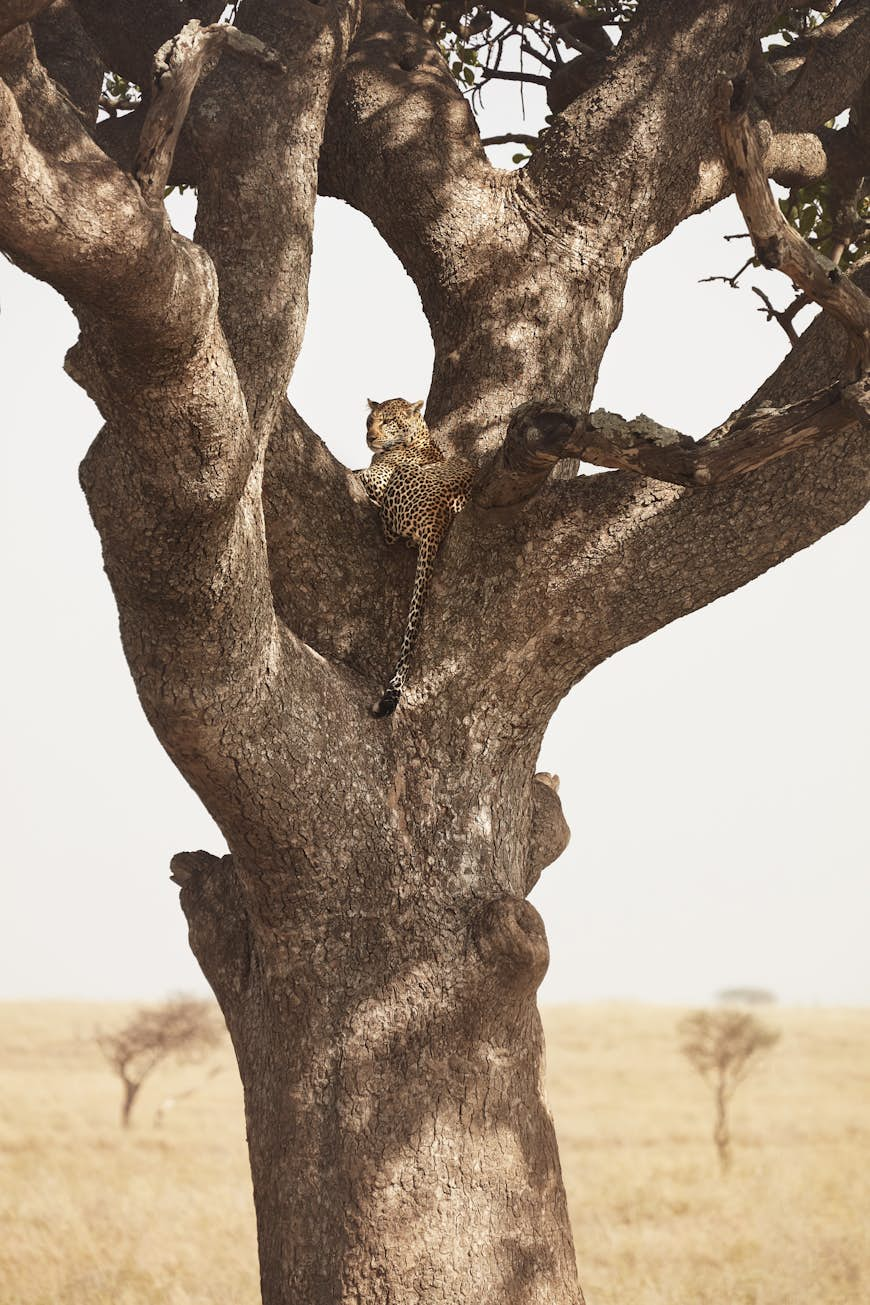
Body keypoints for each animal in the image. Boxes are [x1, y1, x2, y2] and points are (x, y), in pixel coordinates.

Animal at [354, 399, 472, 725]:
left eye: (388, 421)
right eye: (369, 420)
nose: (369, 437)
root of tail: (440, 515)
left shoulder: (378, 478)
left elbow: (358, 471)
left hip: (402, 482)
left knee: (389, 529)